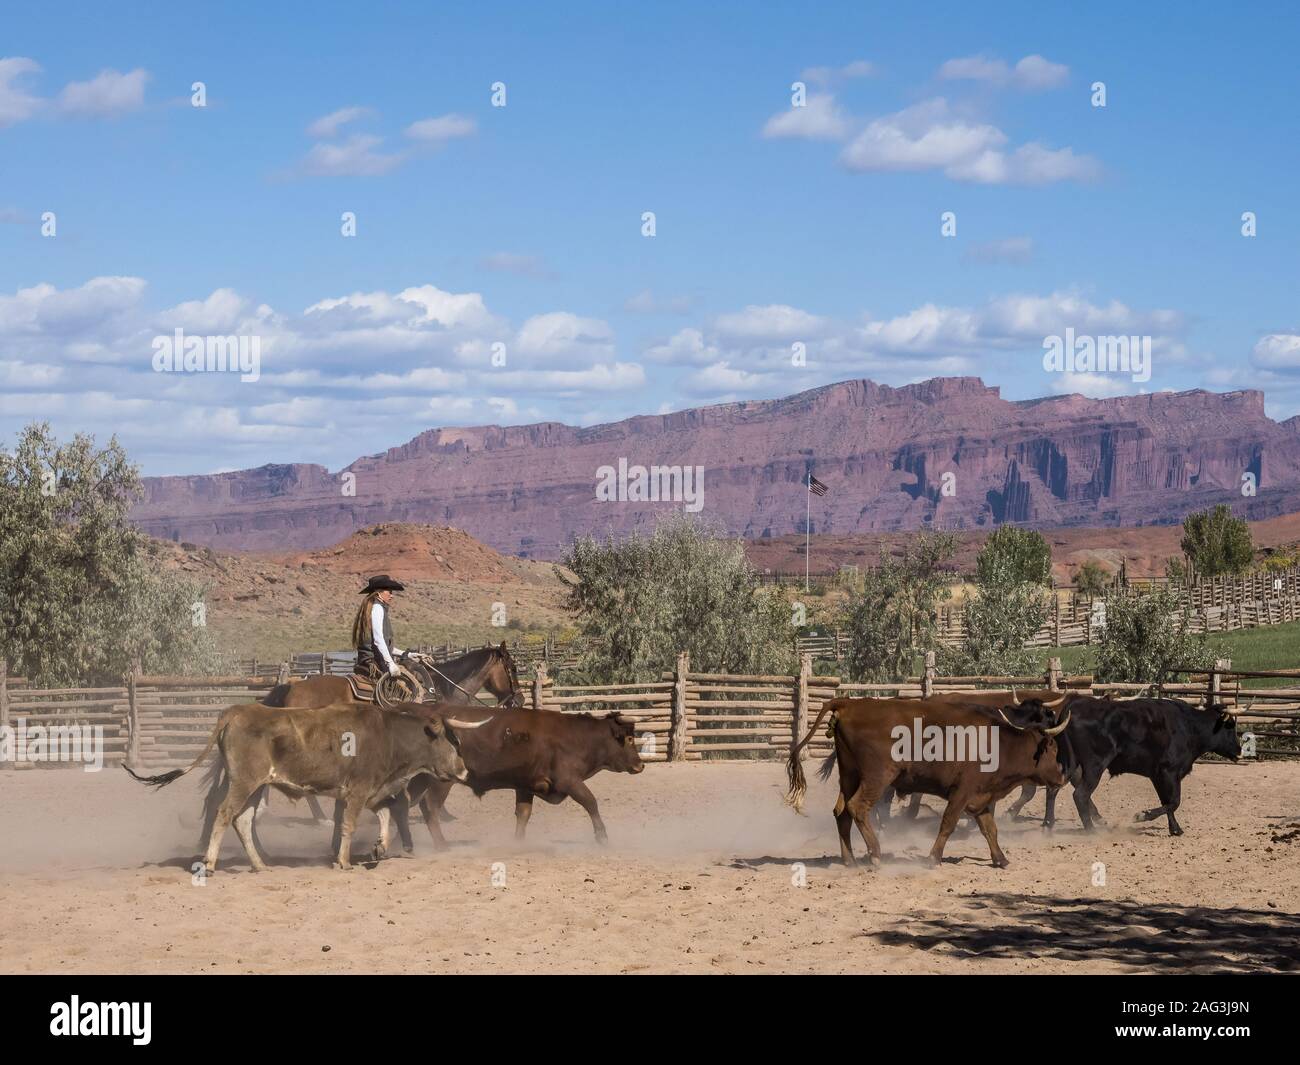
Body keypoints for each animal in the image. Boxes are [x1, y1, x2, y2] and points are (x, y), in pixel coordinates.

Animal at [785, 702, 1071, 868]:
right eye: (1054, 748)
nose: (1063, 776)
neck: (998, 743)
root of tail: (850, 704)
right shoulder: (962, 792)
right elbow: (948, 824)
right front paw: (934, 857)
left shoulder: (981, 797)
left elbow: (990, 829)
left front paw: (1000, 859)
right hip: (877, 778)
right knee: (858, 807)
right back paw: (875, 854)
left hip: (849, 775)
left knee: (841, 812)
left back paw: (849, 859)